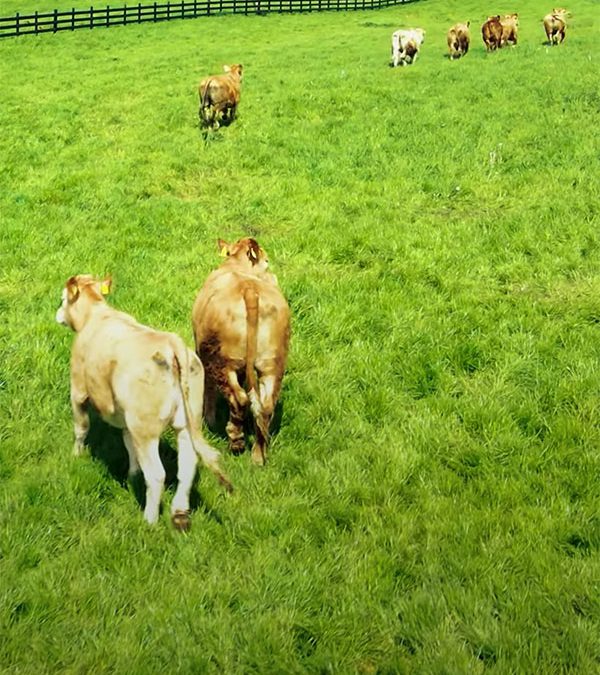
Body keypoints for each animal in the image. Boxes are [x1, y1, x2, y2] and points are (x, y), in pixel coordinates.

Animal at [56, 274, 232, 531]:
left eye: (62, 299)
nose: (58, 314)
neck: (97, 314)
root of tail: (171, 343)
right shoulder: (124, 415)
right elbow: (128, 443)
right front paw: (133, 473)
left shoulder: (78, 390)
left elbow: (81, 428)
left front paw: (76, 455)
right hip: (187, 422)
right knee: (188, 465)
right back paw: (180, 513)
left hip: (146, 428)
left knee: (158, 474)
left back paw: (149, 520)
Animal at [192, 238, 291, 466]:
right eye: (267, 260)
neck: (236, 265)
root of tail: (249, 290)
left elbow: (208, 388)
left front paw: (208, 419)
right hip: (272, 363)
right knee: (265, 405)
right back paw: (258, 455)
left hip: (222, 360)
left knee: (239, 398)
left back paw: (236, 442)